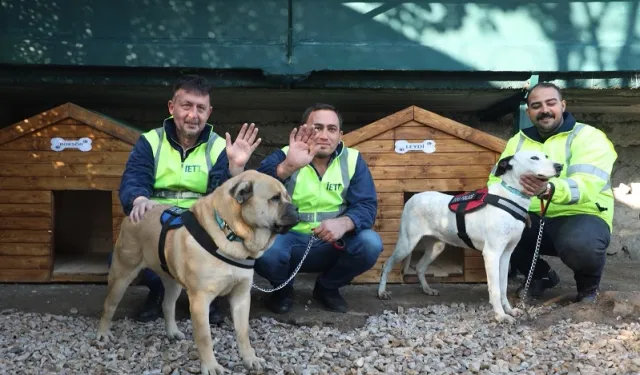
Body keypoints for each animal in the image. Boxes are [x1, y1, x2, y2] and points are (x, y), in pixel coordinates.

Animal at [95, 171, 300, 375]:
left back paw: (172, 332)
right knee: (109, 306)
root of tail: (135, 213)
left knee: (167, 305)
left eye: (288, 197)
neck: (231, 232)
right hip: (122, 275)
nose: (297, 209)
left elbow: (243, 332)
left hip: (172, 281)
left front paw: (250, 359)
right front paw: (211, 366)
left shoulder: (241, 296)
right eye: (275, 198)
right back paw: (103, 334)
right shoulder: (200, 300)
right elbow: (204, 337)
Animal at [378, 151, 564, 324]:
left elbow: (503, 286)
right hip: (406, 244)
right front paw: (500, 316)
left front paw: (509, 310)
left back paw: (427, 289)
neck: (511, 197)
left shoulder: (506, 254)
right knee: (387, 264)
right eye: (534, 158)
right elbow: (495, 289)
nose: (559, 166)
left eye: (546, 156)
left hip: (436, 247)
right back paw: (382, 291)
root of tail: (412, 198)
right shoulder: (491, 254)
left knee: (420, 267)